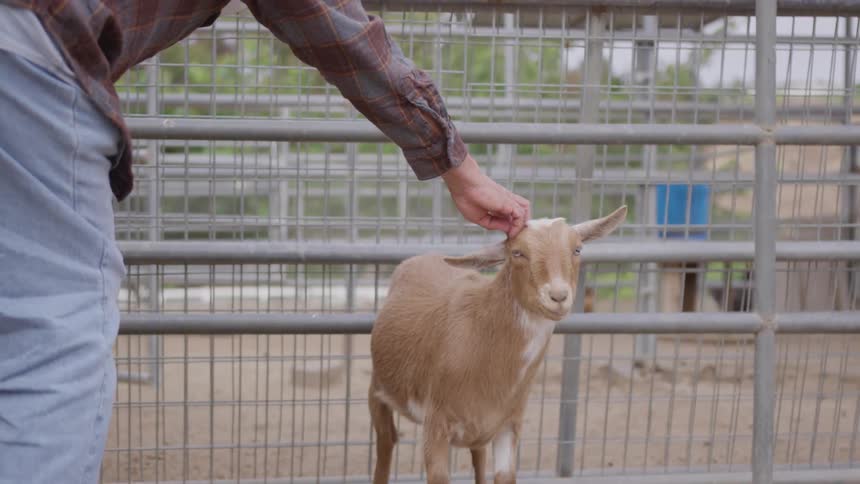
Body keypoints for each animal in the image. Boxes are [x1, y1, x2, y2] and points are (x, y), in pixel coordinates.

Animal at [368, 205, 627, 484]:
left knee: (477, 454)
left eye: (577, 249)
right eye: (517, 253)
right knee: (386, 440)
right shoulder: (436, 425)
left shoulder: (508, 425)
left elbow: (503, 475)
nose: (558, 297)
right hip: (378, 390)